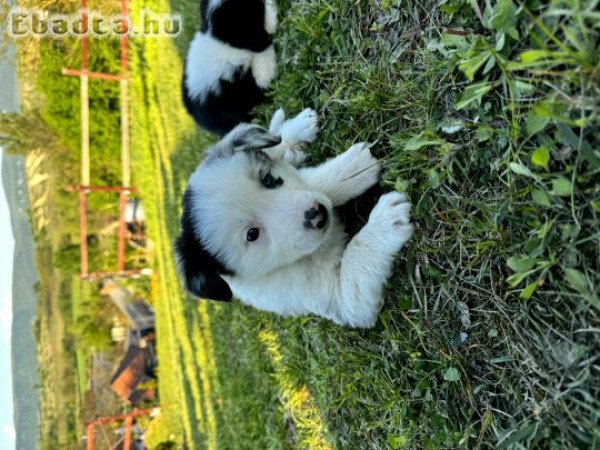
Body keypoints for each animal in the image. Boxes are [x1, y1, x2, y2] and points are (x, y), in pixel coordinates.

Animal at [176, 109, 414, 326]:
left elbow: (316, 184)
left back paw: (295, 129)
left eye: (268, 179)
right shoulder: (341, 302)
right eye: (252, 234)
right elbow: (354, 257)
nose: (318, 214)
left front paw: (352, 170)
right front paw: (384, 223)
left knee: (275, 148)